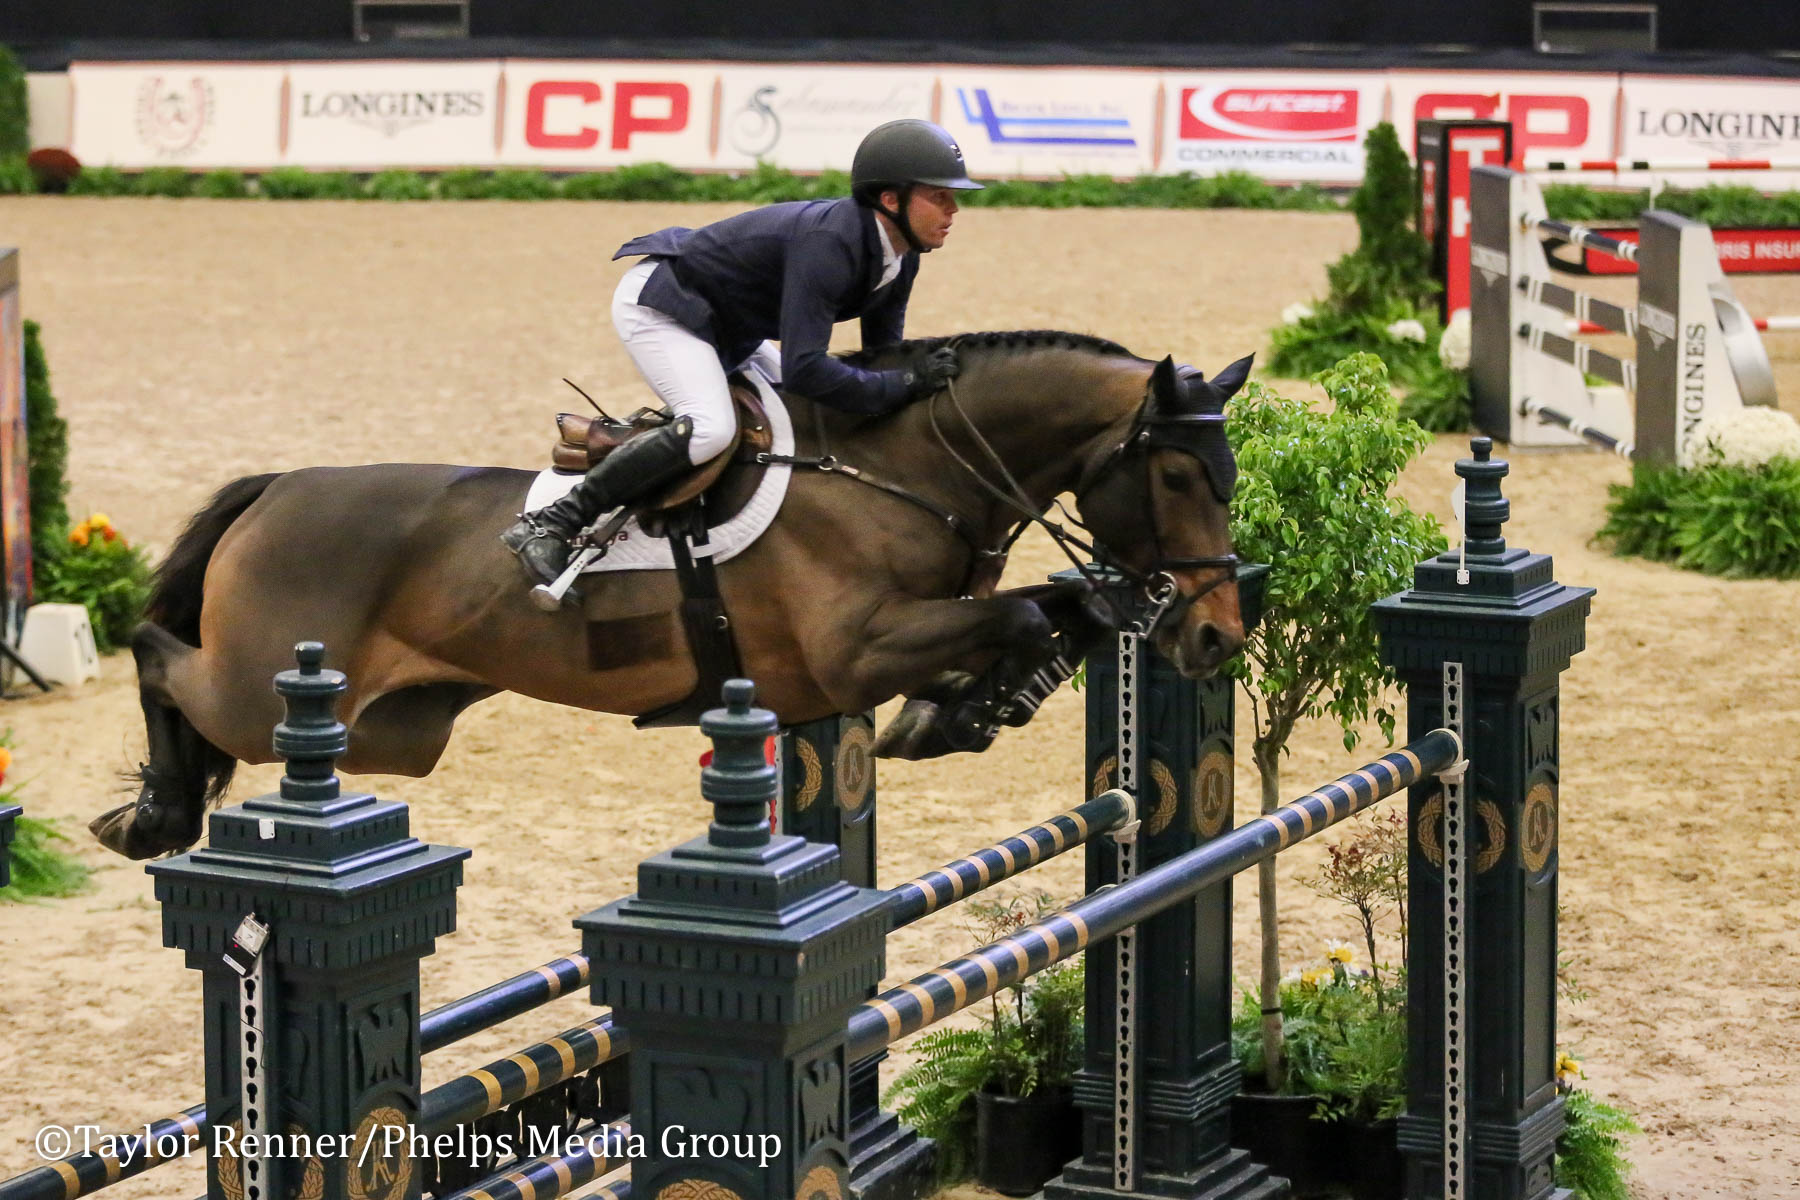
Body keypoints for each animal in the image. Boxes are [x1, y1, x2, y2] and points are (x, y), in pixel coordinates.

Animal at [94, 332, 1252, 859]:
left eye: (1227, 475)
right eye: (1177, 477)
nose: (1214, 638)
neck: (900, 471)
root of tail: (277, 487)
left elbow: (1057, 616)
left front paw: (967, 709)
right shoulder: (852, 652)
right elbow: (1014, 615)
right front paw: (954, 712)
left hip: (394, 732)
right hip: (261, 691)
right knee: (154, 651)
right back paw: (153, 813)